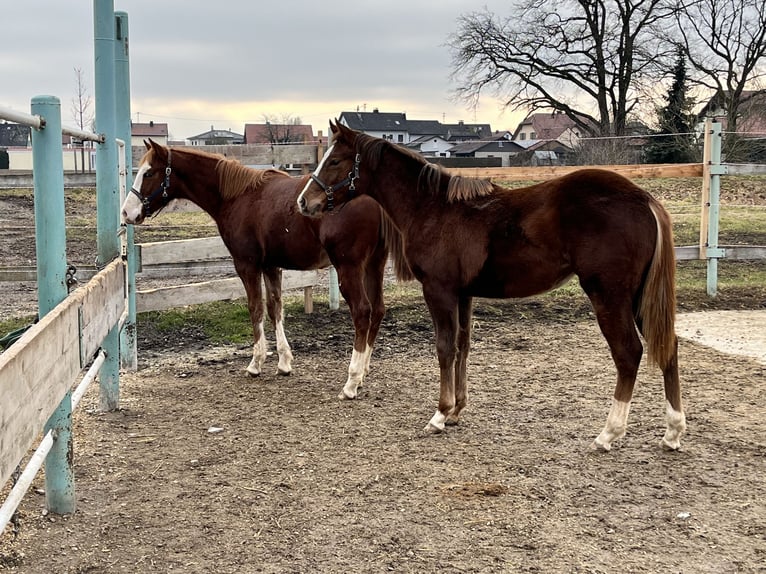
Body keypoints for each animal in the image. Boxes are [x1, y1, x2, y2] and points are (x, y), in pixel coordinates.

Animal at [123, 140, 412, 400]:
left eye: (148, 173)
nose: (127, 212)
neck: (238, 197)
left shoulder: (247, 264)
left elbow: (256, 308)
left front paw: (256, 363)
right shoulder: (272, 266)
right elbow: (275, 308)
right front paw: (284, 362)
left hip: (350, 268)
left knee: (362, 312)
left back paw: (351, 382)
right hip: (374, 264)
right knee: (378, 310)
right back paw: (362, 374)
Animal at [296, 122, 688, 454]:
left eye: (335, 160)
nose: (304, 202)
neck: (433, 208)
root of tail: (644, 199)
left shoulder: (439, 291)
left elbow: (444, 348)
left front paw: (439, 415)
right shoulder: (463, 294)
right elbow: (462, 348)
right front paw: (456, 411)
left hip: (609, 295)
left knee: (629, 353)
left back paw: (608, 433)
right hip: (638, 297)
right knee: (667, 346)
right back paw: (672, 432)